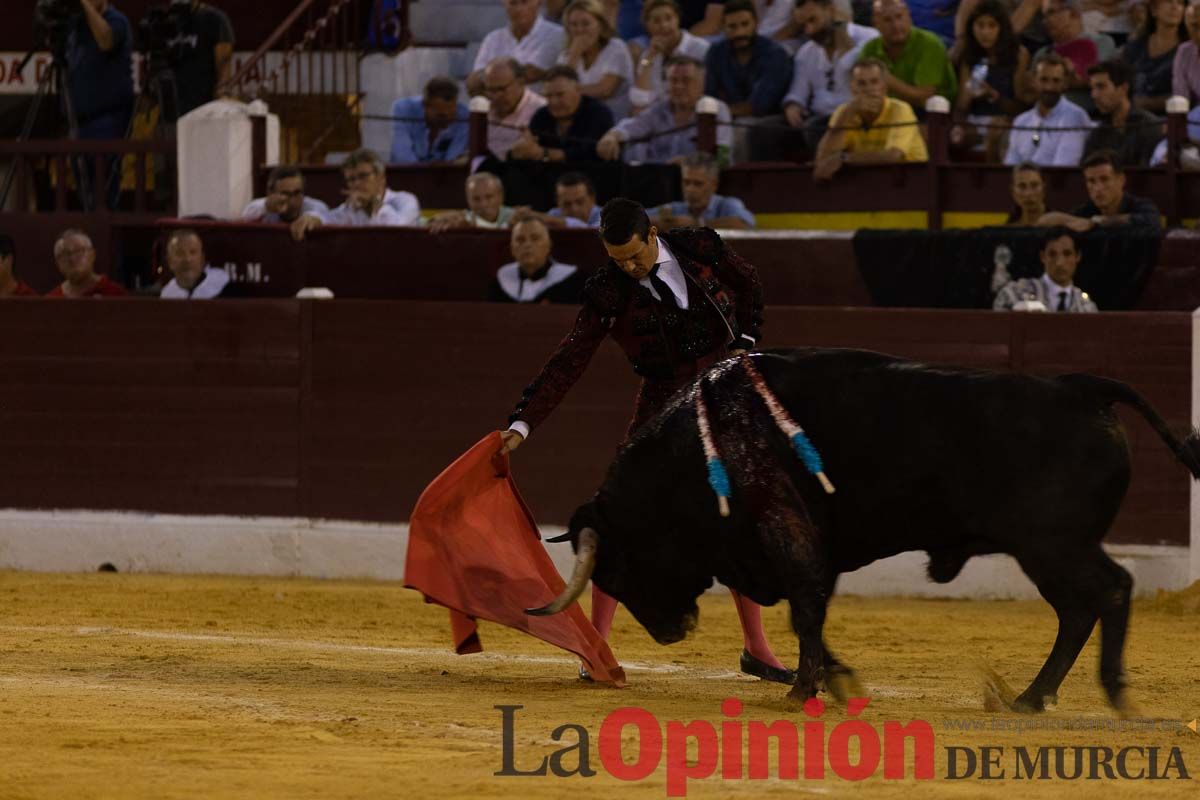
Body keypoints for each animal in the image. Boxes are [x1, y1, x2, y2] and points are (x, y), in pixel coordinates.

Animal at [530, 347, 1200, 710]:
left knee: (1106, 593)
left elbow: (805, 609)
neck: (704, 444)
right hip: (1050, 549)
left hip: (1053, 544)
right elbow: (807, 613)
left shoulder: (788, 535)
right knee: (1081, 608)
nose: (673, 632)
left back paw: (1102, 692)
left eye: (621, 563)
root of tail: (1082, 388)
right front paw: (836, 682)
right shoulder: (785, 549)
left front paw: (803, 691)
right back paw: (1032, 698)